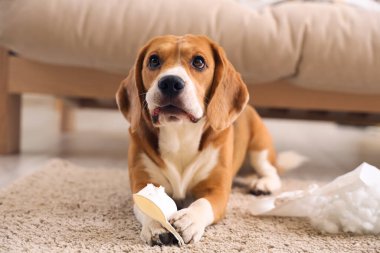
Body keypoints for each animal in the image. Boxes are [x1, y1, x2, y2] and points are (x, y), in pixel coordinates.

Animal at [117, 35, 284, 245]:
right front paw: (156, 224)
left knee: (272, 172)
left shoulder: (217, 190)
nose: (170, 82)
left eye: (198, 61)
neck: (179, 133)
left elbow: (203, 204)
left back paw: (263, 184)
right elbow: (147, 204)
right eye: (153, 60)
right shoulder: (143, 183)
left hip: (259, 149)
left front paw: (189, 219)